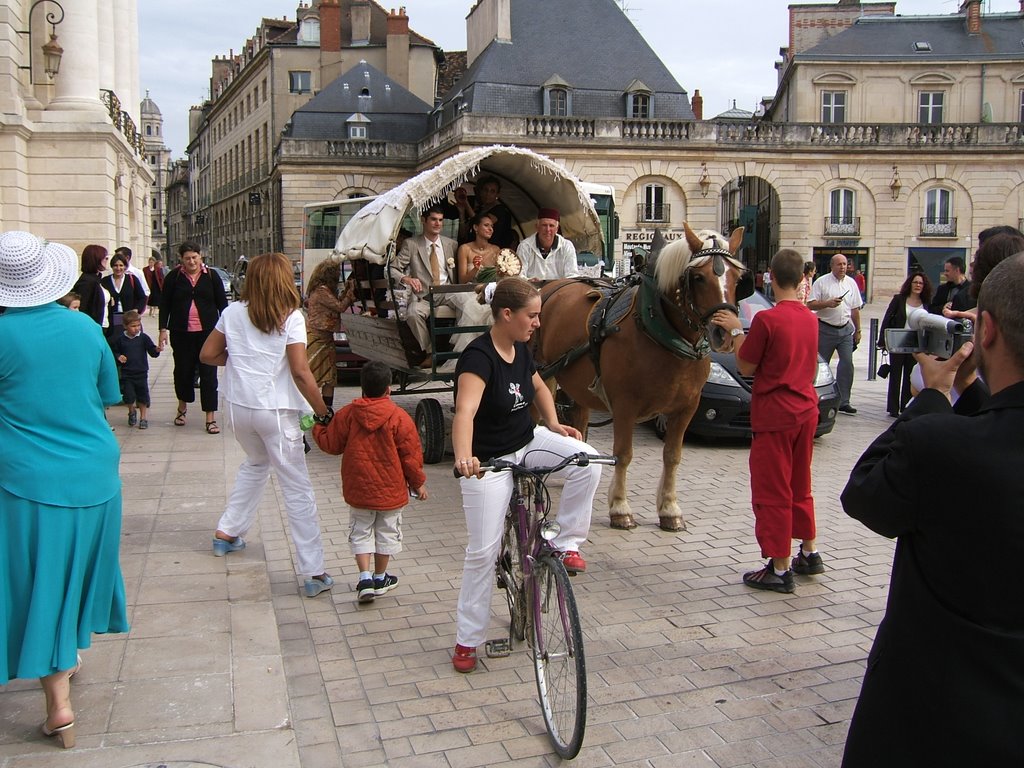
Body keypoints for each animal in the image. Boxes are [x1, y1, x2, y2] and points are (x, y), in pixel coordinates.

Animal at [536, 225, 745, 532]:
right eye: (697, 277)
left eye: (738, 277)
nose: (725, 334)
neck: (657, 330)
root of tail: (547, 286)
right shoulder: (625, 405)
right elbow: (623, 454)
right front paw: (620, 508)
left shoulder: (687, 408)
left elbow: (672, 456)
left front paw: (669, 509)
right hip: (544, 374)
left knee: (580, 420)